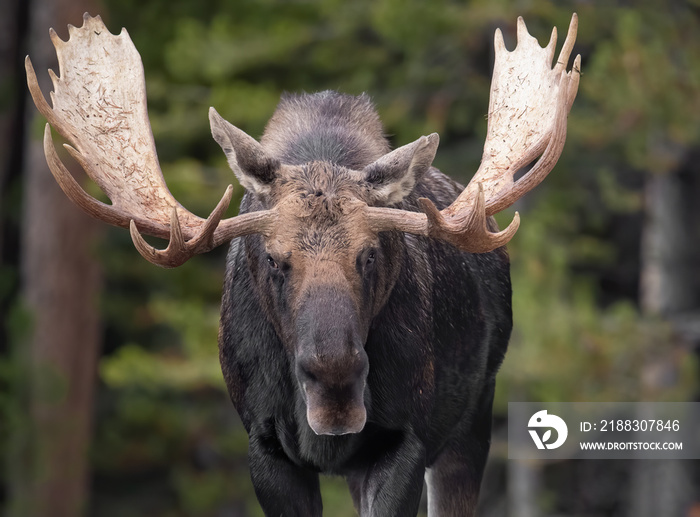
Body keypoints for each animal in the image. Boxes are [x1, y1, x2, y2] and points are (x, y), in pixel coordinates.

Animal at [26, 12, 580, 516]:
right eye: (273, 258)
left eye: (370, 252)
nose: (335, 385)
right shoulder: (265, 447)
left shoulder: (405, 440)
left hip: (473, 417)